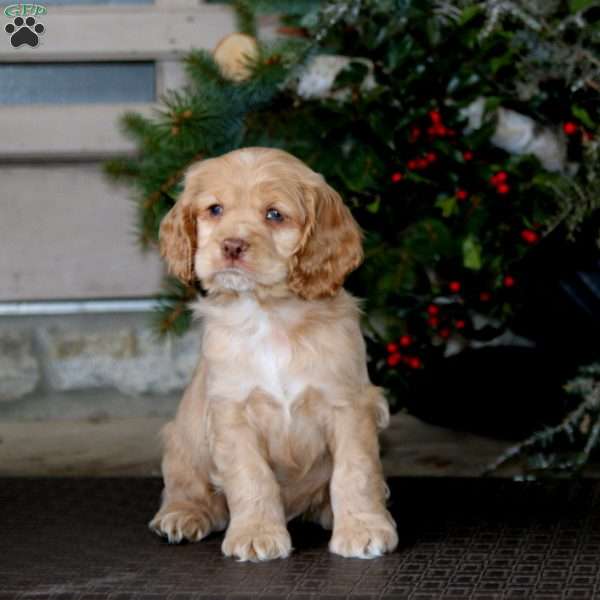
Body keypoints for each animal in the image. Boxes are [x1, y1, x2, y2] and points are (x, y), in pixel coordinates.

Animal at [150, 148, 398, 560]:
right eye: (214, 209)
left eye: (274, 214)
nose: (232, 245)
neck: (269, 315)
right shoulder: (232, 413)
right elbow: (251, 476)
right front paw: (255, 534)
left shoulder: (349, 405)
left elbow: (356, 471)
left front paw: (364, 528)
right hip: (182, 438)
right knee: (185, 486)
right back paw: (183, 515)